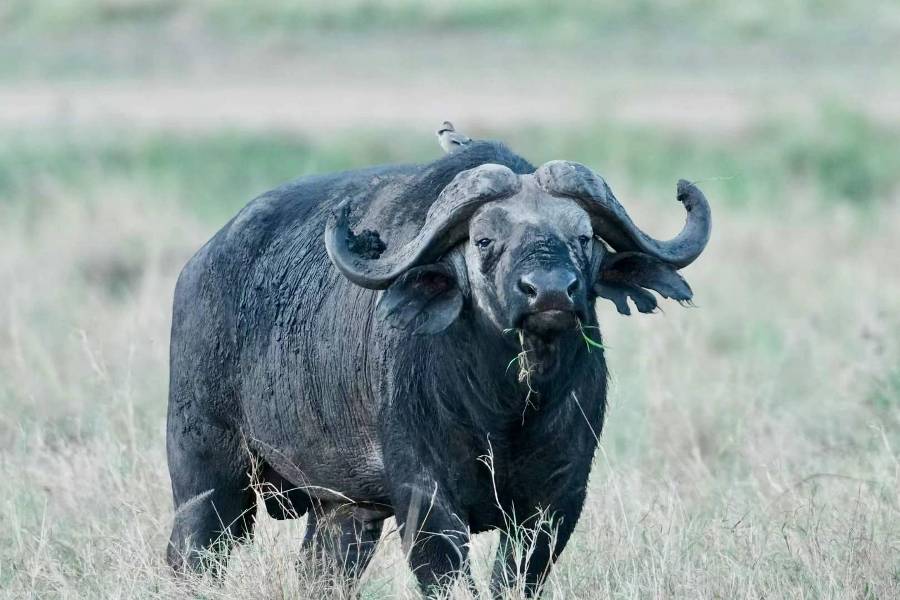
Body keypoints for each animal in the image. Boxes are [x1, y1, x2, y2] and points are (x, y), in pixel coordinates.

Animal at [166, 140, 711, 596]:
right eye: (485, 240)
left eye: (582, 236)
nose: (551, 291)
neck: (508, 407)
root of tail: (199, 265)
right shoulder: (425, 499)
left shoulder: (557, 500)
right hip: (208, 481)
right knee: (192, 553)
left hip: (342, 514)